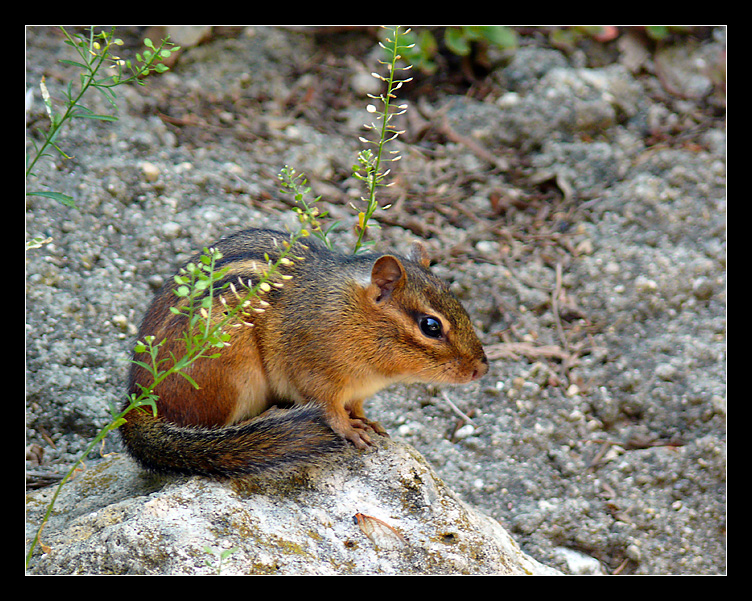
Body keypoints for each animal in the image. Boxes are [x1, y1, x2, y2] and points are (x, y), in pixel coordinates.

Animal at [119, 228, 488, 477]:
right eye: (431, 326)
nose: (482, 369)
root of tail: (138, 399)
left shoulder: (358, 390)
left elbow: (357, 406)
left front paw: (368, 421)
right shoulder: (312, 371)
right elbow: (328, 408)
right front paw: (349, 428)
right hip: (229, 370)